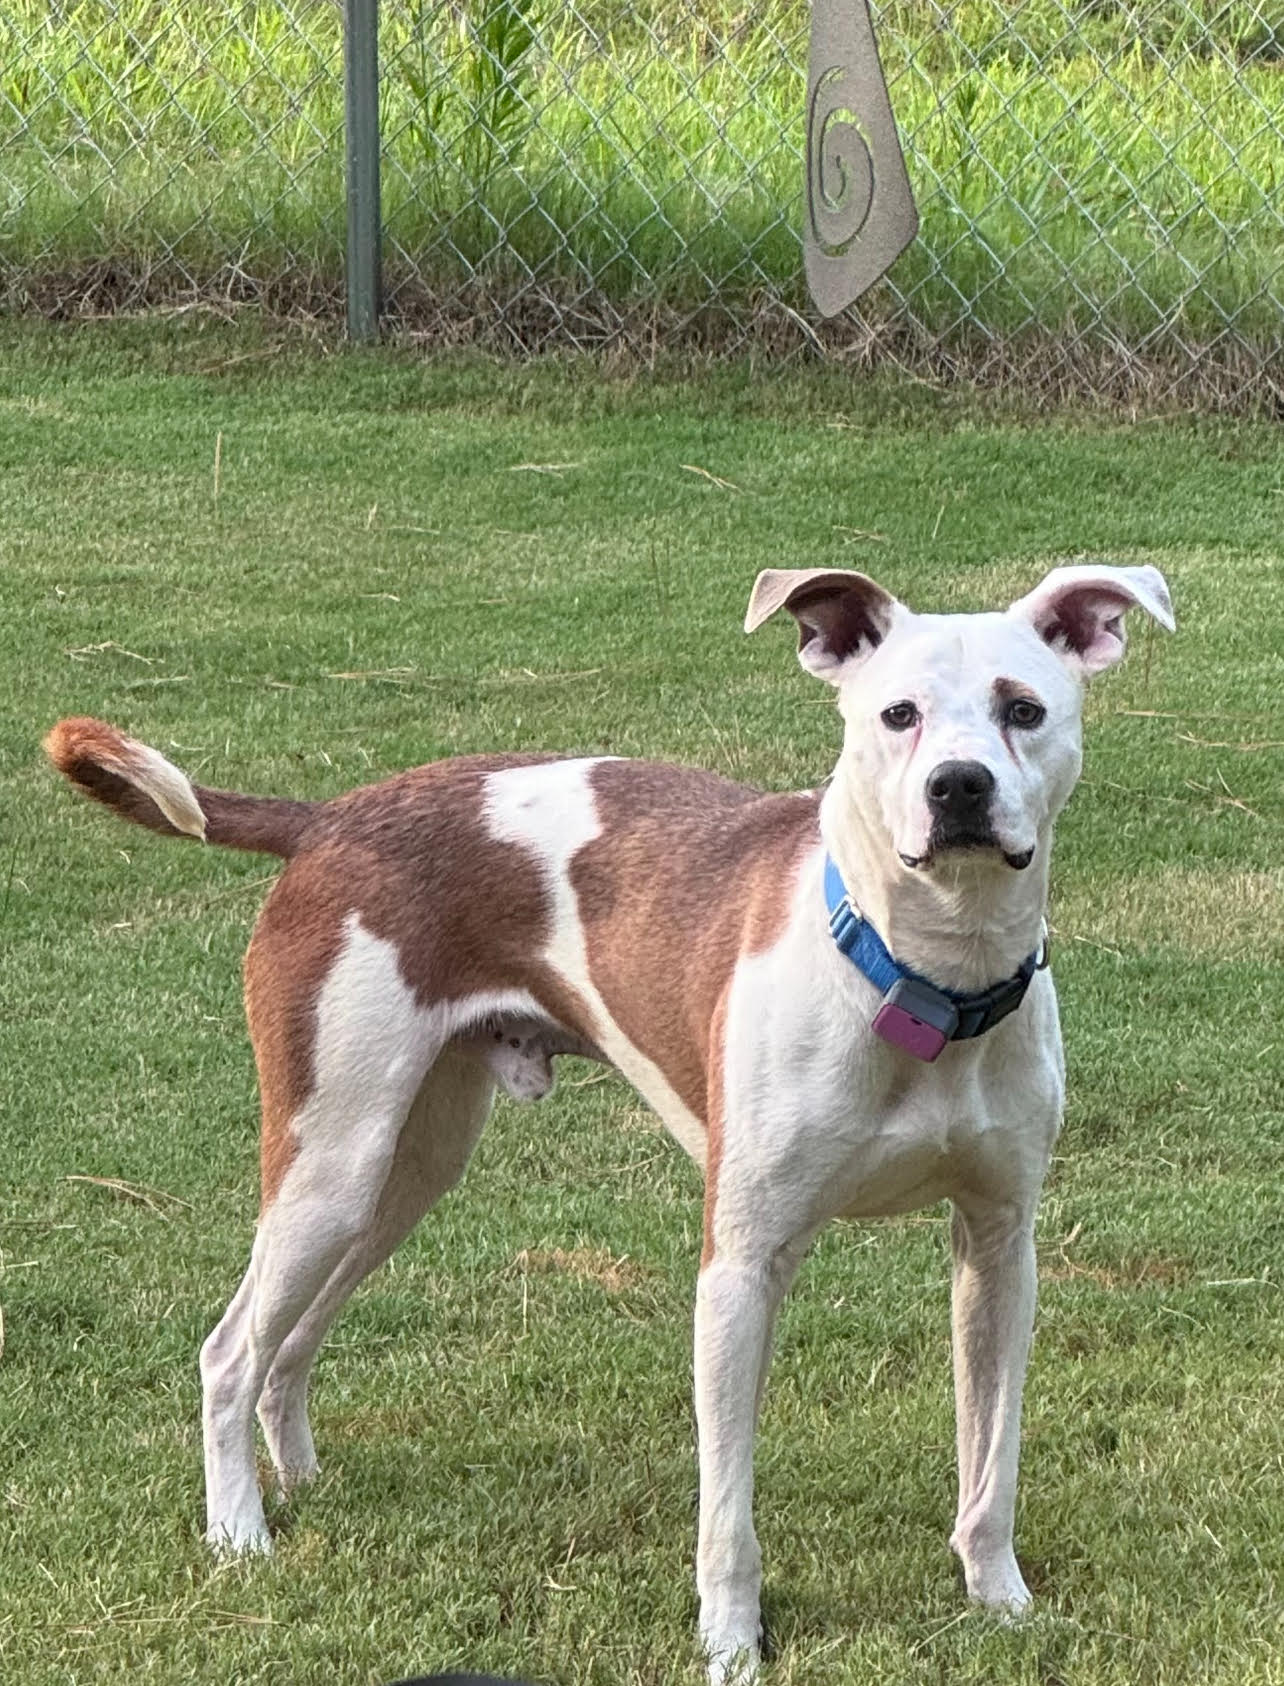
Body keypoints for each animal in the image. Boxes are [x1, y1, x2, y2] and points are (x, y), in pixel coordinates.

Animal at [47, 566, 1172, 1686]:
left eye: (1023, 710)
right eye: (898, 715)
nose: (958, 787)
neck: (924, 979)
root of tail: (328, 819)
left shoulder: (999, 1247)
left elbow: (992, 1463)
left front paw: (1000, 1602)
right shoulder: (740, 1266)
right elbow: (728, 1515)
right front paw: (731, 1646)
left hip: (403, 1171)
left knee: (290, 1340)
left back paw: (300, 1480)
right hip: (333, 1160)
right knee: (230, 1351)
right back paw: (239, 1531)